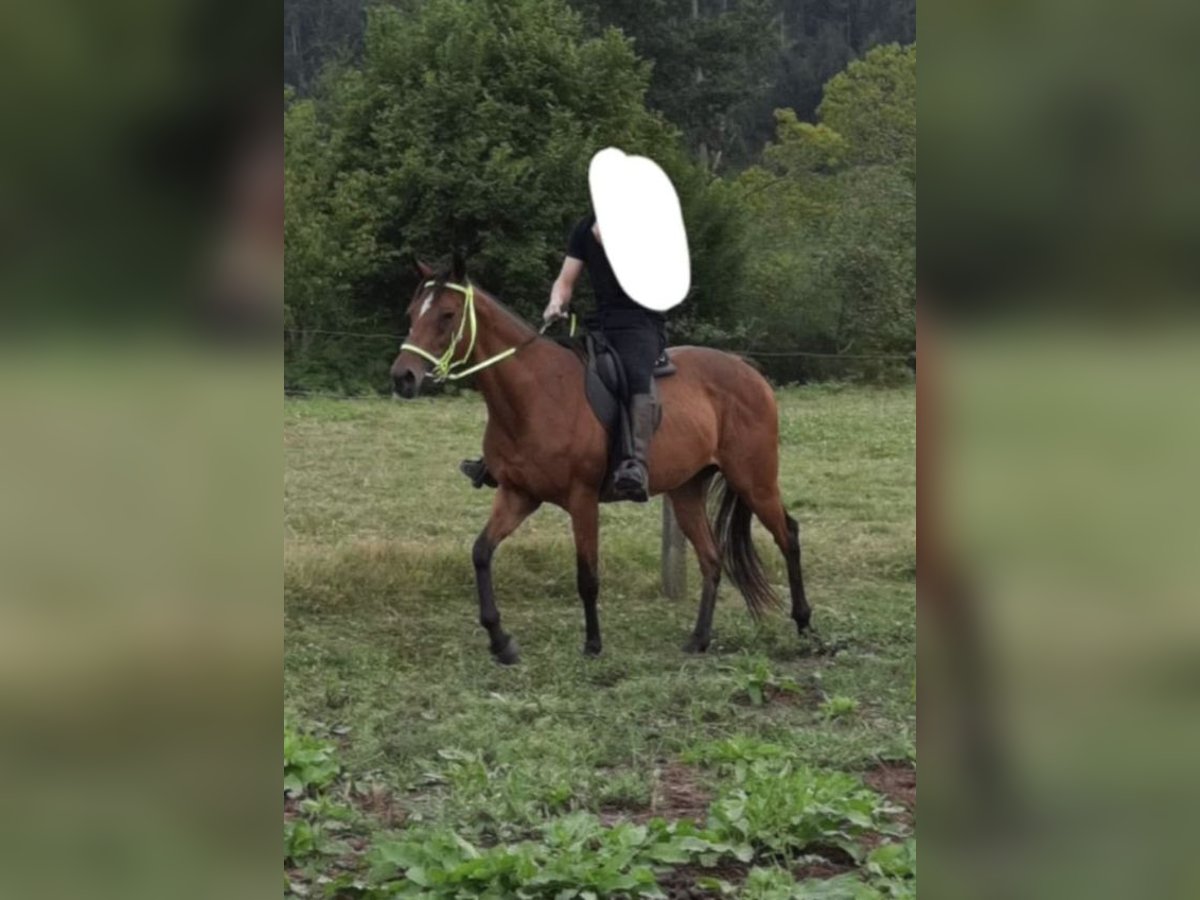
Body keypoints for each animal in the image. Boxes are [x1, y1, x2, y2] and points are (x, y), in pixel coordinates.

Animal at [388, 256, 811, 667]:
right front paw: (501, 642)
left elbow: (587, 575)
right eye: (411, 312)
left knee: (788, 535)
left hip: (753, 479)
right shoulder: (518, 495)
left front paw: (592, 644)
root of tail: (748, 371)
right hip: (686, 490)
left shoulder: (582, 498)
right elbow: (480, 552)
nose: (403, 377)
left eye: (446, 314)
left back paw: (805, 627)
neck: (534, 395)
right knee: (711, 558)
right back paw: (699, 639)